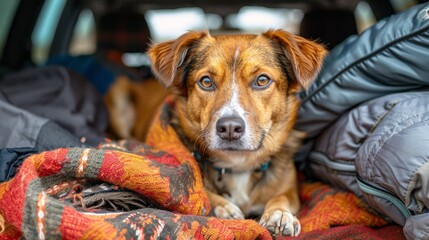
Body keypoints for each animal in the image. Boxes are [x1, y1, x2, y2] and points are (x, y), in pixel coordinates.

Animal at [147, 29, 324, 236]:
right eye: (206, 81)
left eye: (262, 80)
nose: (229, 128)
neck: (239, 163)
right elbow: (204, 195)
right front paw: (225, 208)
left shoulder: (290, 187)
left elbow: (283, 197)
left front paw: (278, 213)